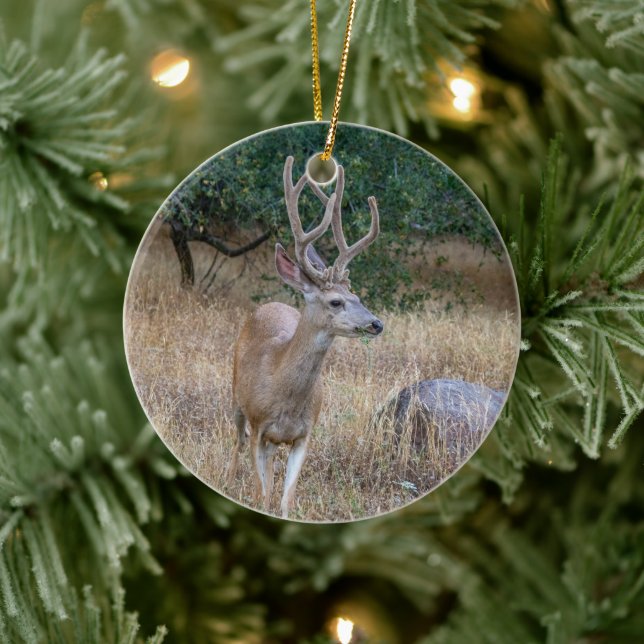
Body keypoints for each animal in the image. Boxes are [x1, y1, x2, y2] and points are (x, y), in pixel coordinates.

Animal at [227, 155, 383, 518]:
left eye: (357, 296)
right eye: (336, 301)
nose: (376, 324)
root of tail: (269, 304)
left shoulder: (305, 434)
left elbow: (286, 497)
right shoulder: (259, 426)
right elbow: (262, 494)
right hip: (236, 396)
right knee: (236, 440)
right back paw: (226, 480)